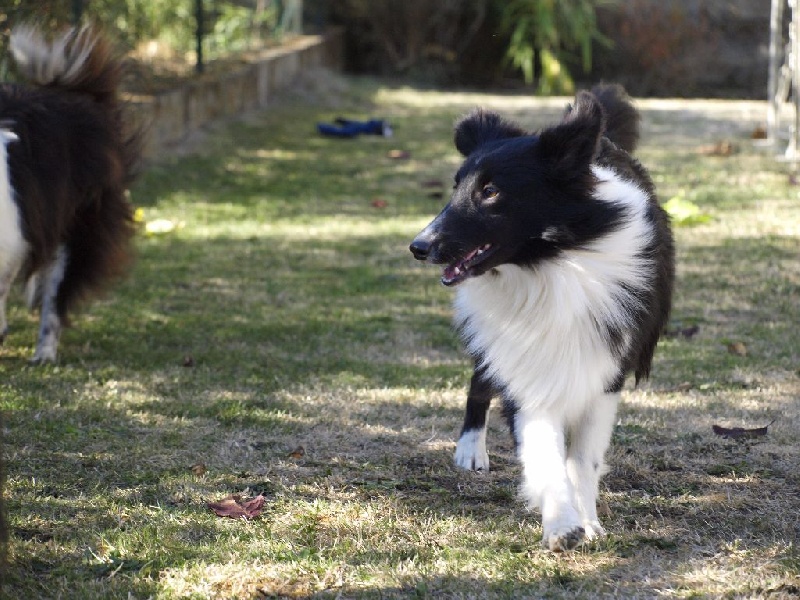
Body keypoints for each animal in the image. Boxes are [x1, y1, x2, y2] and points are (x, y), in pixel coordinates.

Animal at [412, 85, 676, 552]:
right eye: (455, 187)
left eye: (491, 191)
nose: (418, 246)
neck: (548, 264)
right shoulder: (523, 362)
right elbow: (543, 451)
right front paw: (561, 524)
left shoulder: (606, 370)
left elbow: (582, 458)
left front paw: (587, 520)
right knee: (480, 381)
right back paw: (471, 449)